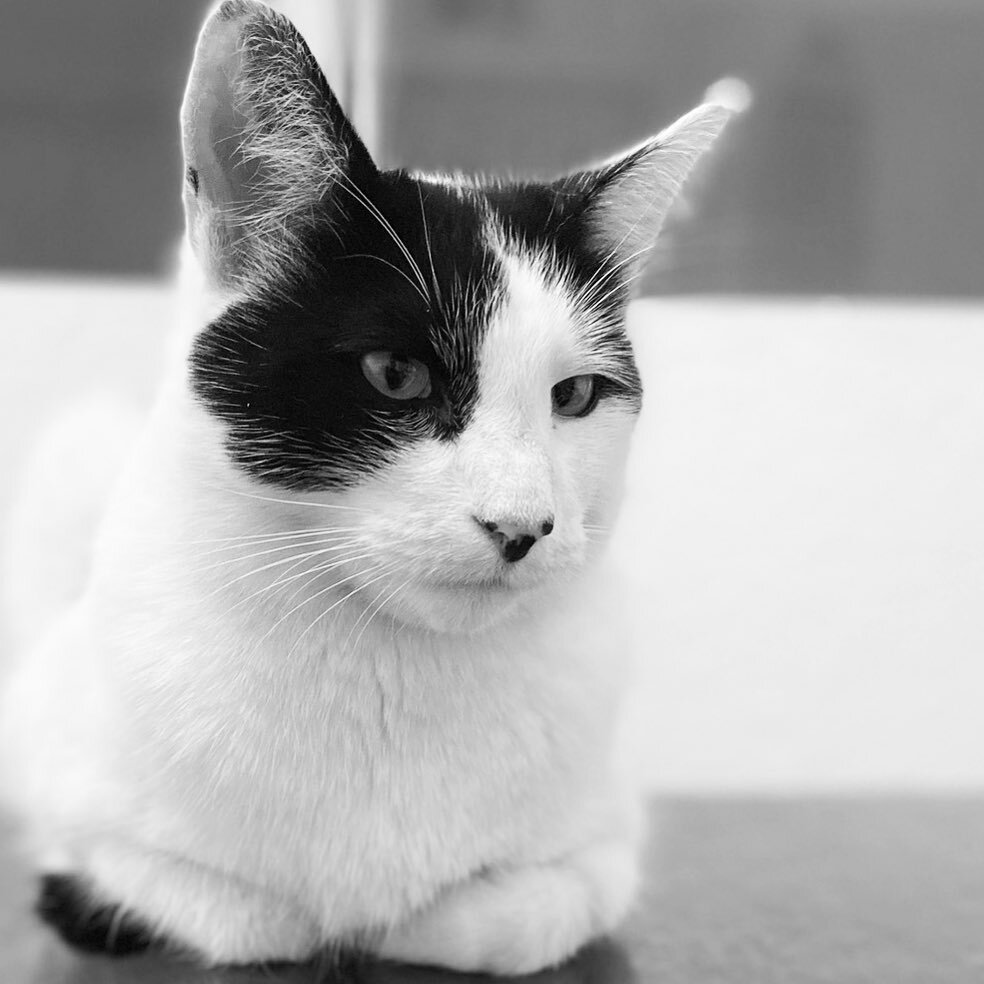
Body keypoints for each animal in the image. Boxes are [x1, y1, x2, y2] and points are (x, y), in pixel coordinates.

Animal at [0, 0, 728, 972]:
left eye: (574, 396)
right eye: (395, 374)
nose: (523, 525)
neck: (391, 671)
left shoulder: (607, 847)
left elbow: (513, 916)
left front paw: (413, 917)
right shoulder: (67, 783)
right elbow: (239, 915)